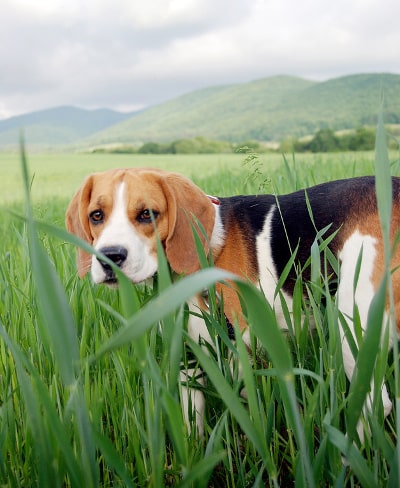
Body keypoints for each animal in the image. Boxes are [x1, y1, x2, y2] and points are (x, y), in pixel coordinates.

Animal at [66, 169, 400, 438]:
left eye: (147, 214)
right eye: (97, 215)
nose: (110, 256)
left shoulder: (242, 348)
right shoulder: (188, 352)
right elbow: (192, 421)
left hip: (355, 322)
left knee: (375, 405)